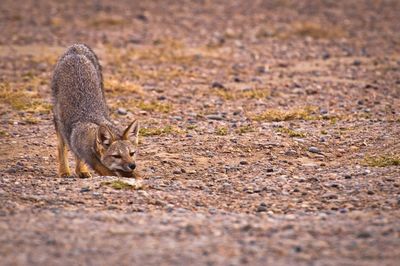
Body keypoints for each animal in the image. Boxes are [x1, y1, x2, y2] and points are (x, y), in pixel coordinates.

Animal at [51, 44, 139, 179]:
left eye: (131, 153)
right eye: (117, 156)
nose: (132, 165)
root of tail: (76, 47)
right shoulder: (92, 159)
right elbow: (107, 170)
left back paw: (81, 170)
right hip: (58, 121)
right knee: (61, 147)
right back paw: (64, 171)